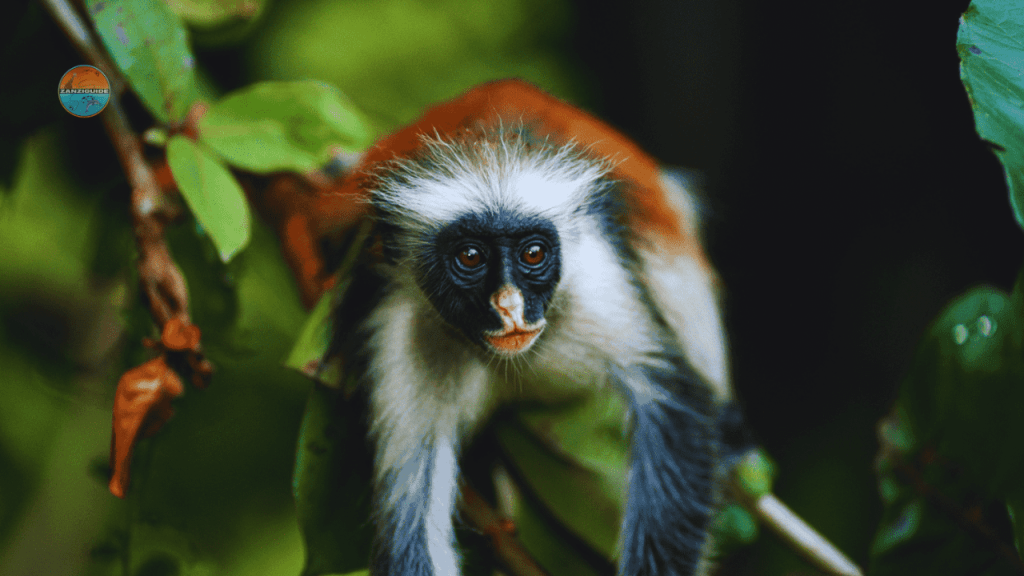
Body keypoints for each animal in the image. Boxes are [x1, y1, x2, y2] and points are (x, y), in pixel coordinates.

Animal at [327, 79, 737, 573]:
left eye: (533, 253)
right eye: (470, 257)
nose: (510, 307)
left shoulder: (597, 284)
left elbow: (675, 403)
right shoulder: (402, 327)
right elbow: (410, 520)